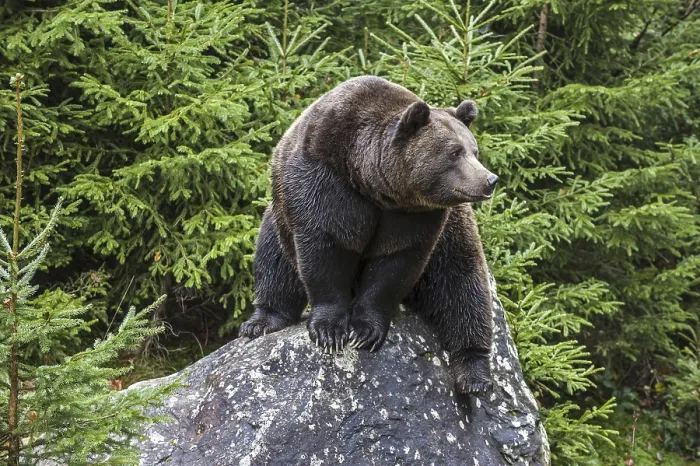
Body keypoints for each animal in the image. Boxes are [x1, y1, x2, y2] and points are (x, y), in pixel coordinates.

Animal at [239, 76, 498, 395]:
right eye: (454, 152)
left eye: (474, 151)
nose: (489, 179)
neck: (372, 183)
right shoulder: (324, 184)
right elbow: (325, 250)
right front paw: (329, 330)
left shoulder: (415, 217)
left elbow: (394, 265)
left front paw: (365, 331)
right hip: (278, 216)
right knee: (274, 264)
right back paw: (261, 321)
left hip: (454, 234)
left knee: (464, 288)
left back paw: (474, 375)